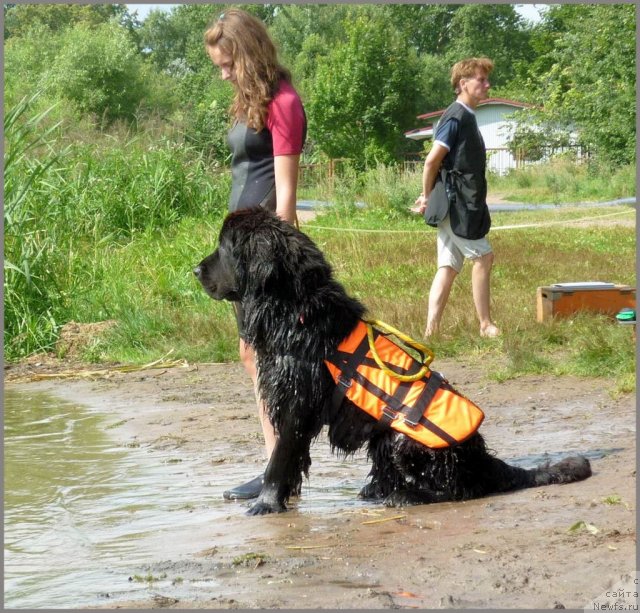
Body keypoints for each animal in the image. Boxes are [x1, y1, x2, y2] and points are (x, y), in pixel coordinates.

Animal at [192, 208, 592, 512]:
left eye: (224, 248)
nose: (195, 270)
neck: (293, 310)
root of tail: (485, 462)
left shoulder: (297, 403)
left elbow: (280, 458)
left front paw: (265, 503)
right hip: (383, 438)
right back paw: (376, 491)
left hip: (407, 438)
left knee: (459, 489)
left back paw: (405, 496)